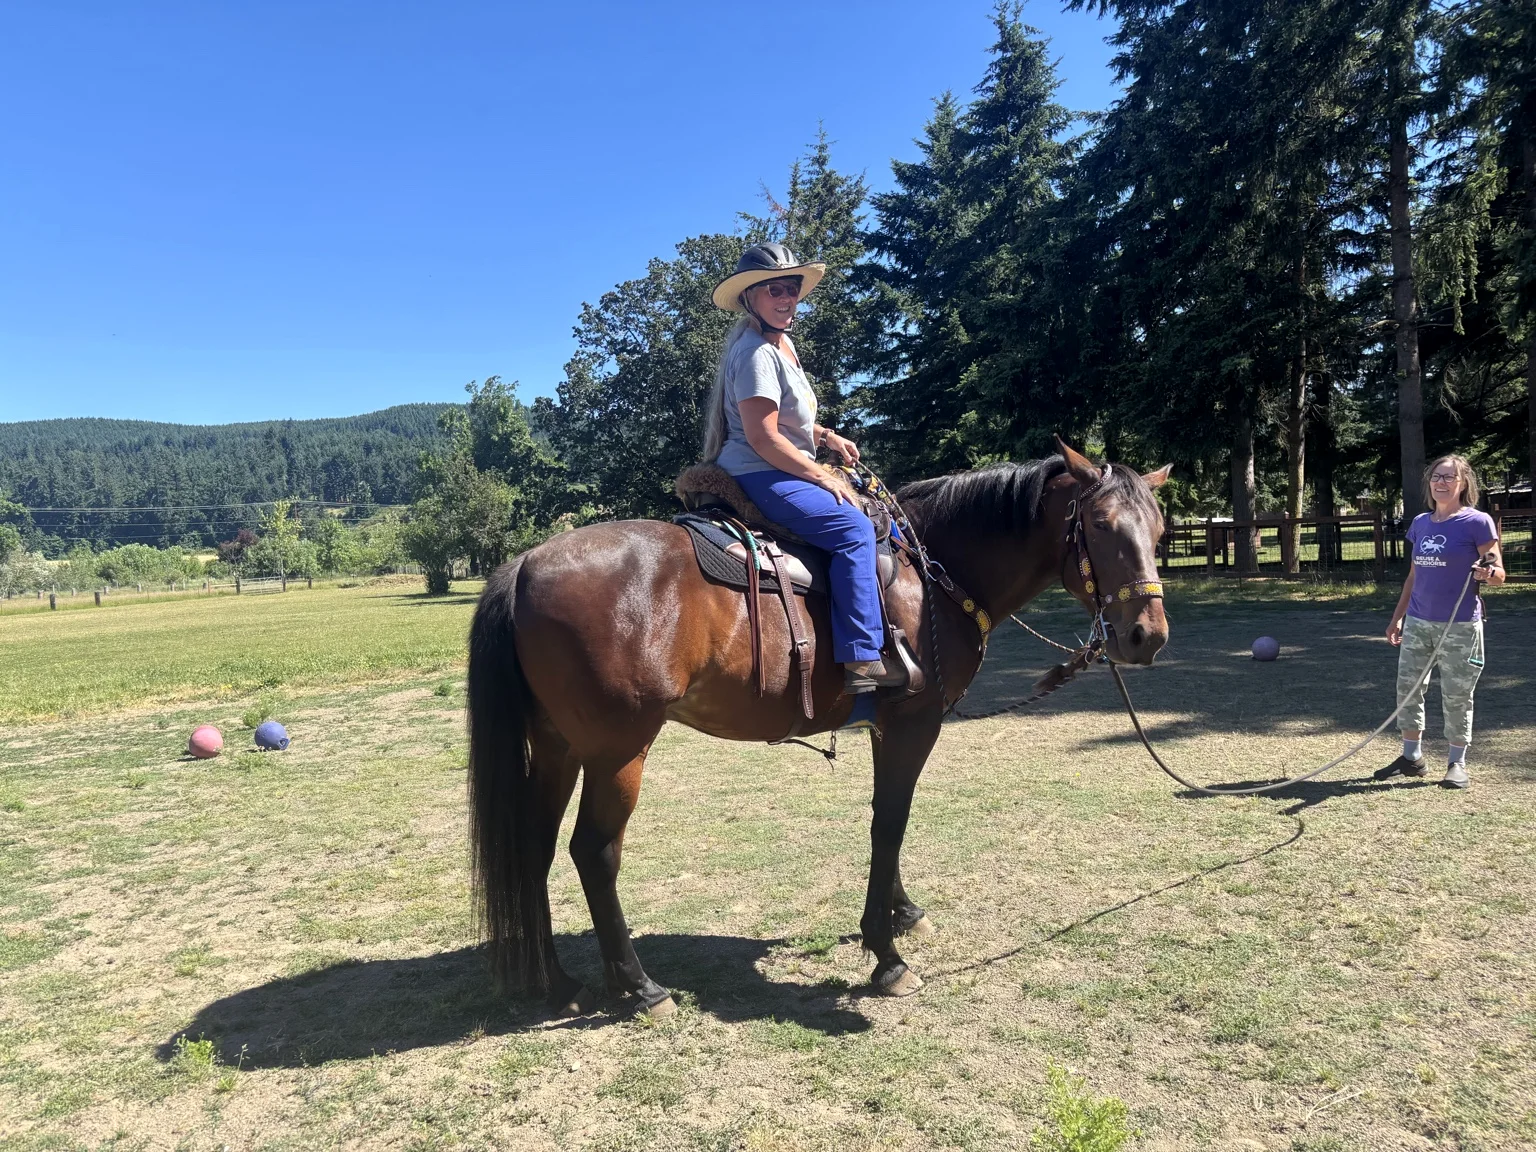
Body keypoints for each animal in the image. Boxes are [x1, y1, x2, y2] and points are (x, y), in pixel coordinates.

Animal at [466, 440, 1170, 1017]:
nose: (1147, 636)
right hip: (618, 752)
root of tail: (525, 564)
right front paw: (886, 956)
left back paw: (558, 982)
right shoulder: (913, 722)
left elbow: (887, 817)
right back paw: (639, 986)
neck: (933, 572)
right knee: (594, 852)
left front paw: (901, 912)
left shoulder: (888, 727)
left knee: (534, 845)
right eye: (1101, 526)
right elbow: (891, 822)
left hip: (557, 747)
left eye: (1161, 528)